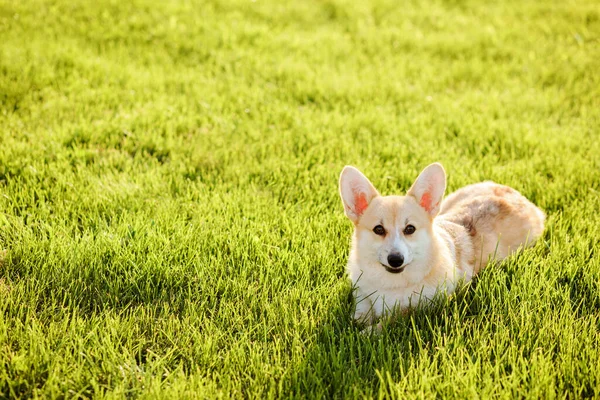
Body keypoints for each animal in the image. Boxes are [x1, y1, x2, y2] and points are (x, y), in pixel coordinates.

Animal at [340, 161, 548, 324]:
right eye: (378, 229)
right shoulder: (361, 292)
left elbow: (392, 319)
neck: (391, 283)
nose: (396, 259)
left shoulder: (424, 308)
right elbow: (361, 310)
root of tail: (517, 195)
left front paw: (368, 332)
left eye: (410, 229)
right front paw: (358, 321)